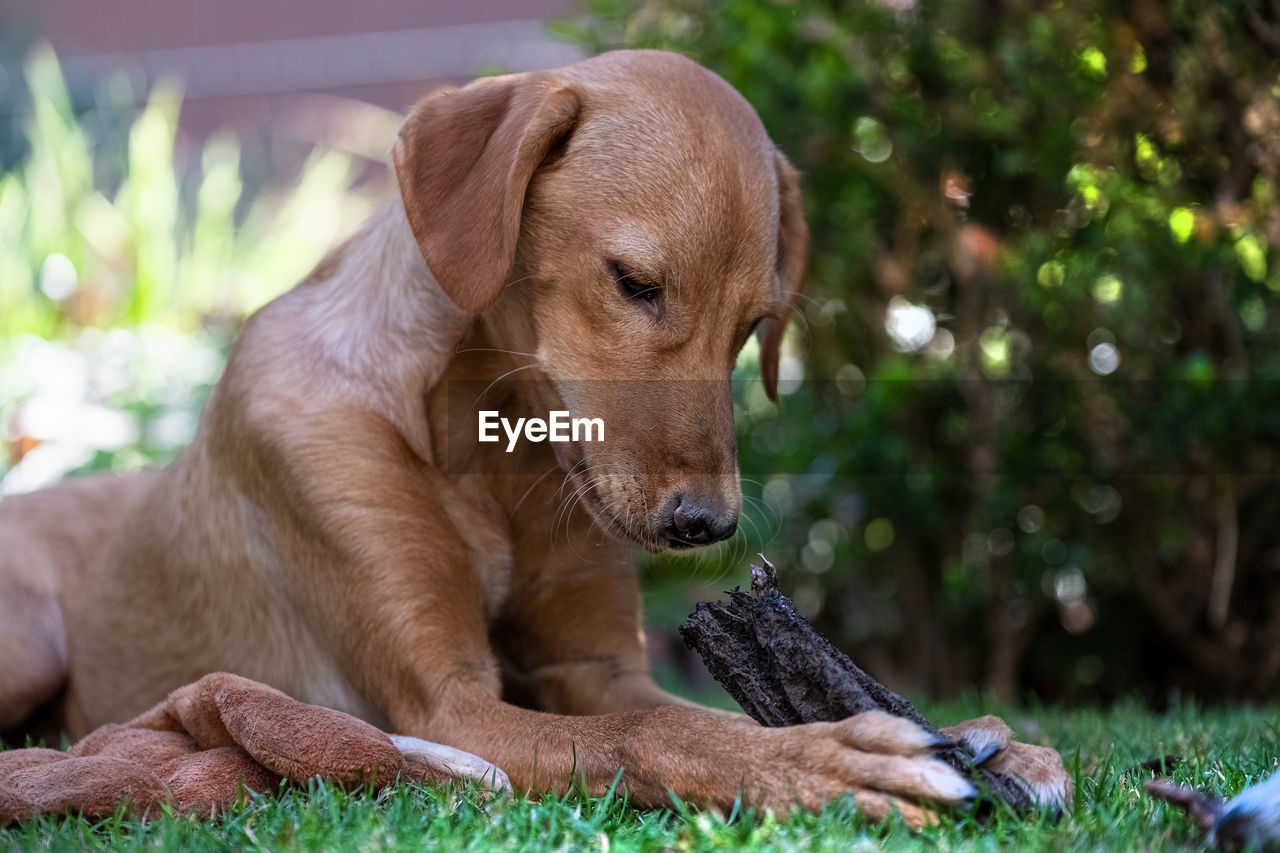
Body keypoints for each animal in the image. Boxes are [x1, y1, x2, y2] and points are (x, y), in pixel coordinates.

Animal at [0, 49, 1070, 819]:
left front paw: (990, 738)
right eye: (634, 282)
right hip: (30, 639)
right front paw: (830, 762)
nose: (706, 524)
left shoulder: (599, 668)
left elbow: (683, 716)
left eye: (757, 323)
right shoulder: (452, 699)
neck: (496, 450)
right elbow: (660, 738)